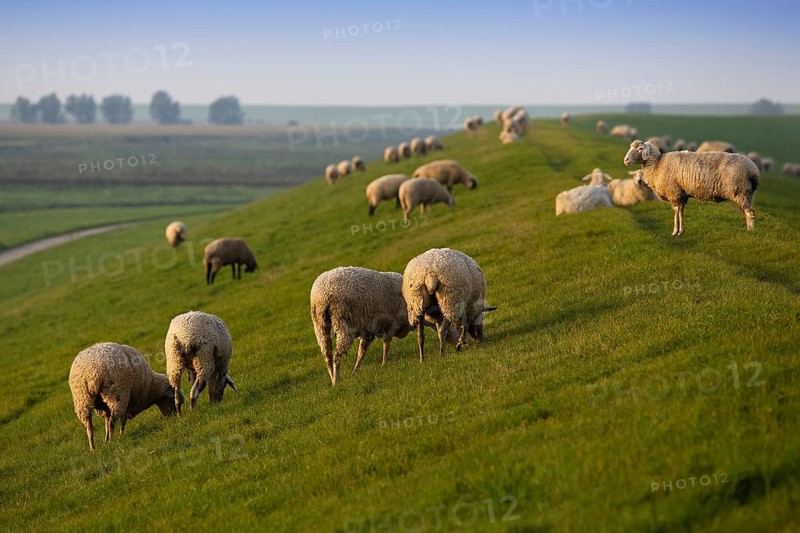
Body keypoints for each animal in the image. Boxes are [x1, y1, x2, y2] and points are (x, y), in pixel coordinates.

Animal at [310, 267, 460, 385]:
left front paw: (355, 371)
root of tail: (322, 296)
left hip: (319, 324)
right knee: (336, 354)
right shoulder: (394, 323)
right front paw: (383, 364)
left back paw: (332, 379)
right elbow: (386, 344)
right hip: (344, 324)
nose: (460, 348)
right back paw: (337, 380)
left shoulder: (367, 329)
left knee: (327, 354)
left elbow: (361, 352)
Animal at [624, 139, 759, 235]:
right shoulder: (681, 194)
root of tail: (753, 170)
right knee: (748, 211)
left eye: (640, 149)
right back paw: (748, 229)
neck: (657, 164)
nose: (625, 160)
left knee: (750, 212)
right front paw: (681, 231)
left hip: (740, 191)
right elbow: (681, 212)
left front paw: (675, 231)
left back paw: (750, 232)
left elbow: (676, 212)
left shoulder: (674, 193)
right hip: (748, 193)